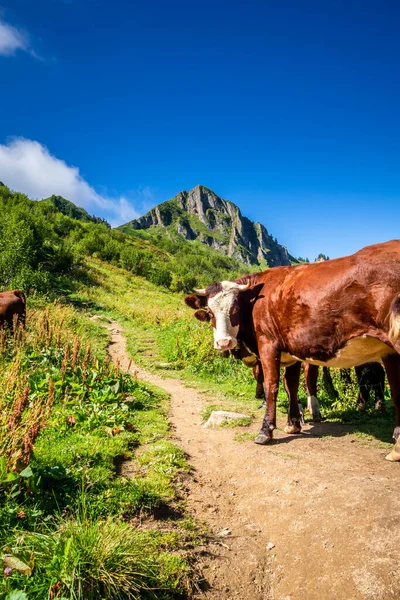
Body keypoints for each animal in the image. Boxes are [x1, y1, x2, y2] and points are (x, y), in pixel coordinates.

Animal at [186, 241, 400, 462]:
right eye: (210, 312)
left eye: (235, 308)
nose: (223, 342)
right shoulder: (292, 351)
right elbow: (292, 385)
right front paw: (294, 423)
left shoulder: (268, 345)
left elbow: (272, 385)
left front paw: (266, 430)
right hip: (389, 351)